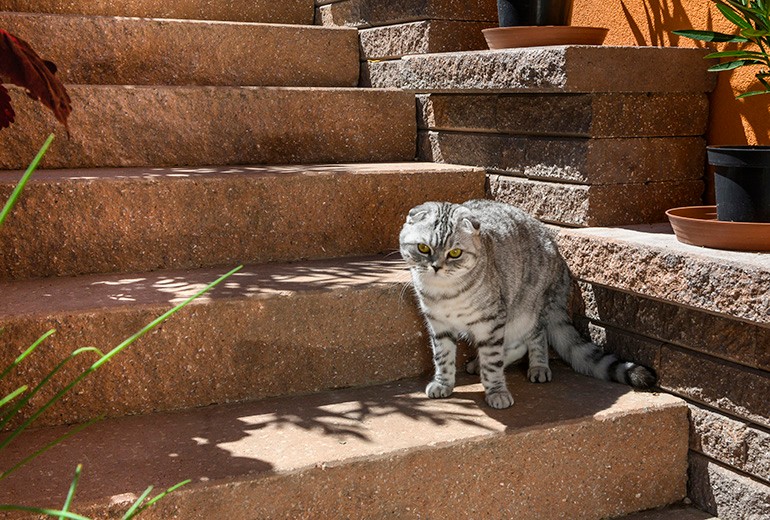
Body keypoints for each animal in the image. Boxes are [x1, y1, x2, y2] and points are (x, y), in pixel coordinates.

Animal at [396, 199, 656, 410]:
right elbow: (443, 357)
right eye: (423, 248)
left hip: (528, 311)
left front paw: (496, 392)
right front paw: (444, 383)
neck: (445, 292)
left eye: (455, 253)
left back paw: (538, 367)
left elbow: (493, 363)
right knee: (516, 345)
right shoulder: (438, 324)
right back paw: (477, 364)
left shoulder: (491, 322)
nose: (436, 266)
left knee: (535, 338)